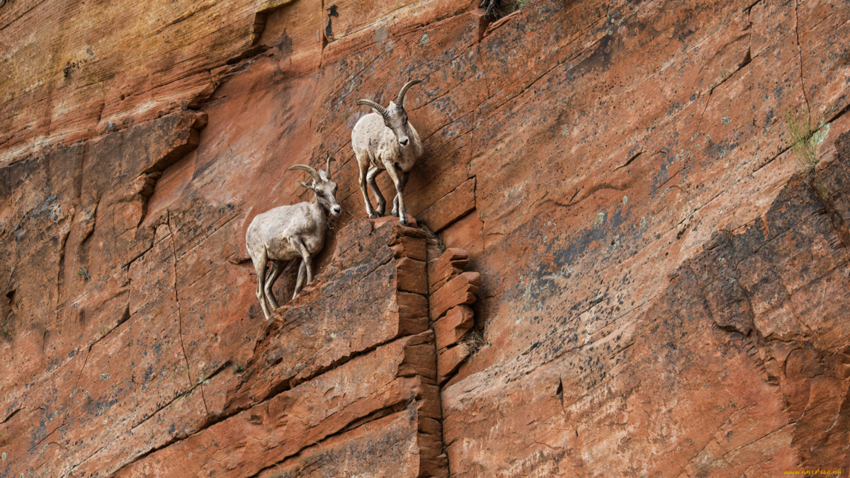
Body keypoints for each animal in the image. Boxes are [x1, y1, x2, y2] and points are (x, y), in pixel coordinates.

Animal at [243, 158, 340, 322]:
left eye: (335, 187)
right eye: (319, 192)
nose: (337, 209)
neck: (314, 220)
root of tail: (249, 229)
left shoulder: (307, 251)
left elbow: (299, 280)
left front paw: (297, 297)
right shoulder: (294, 238)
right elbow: (307, 261)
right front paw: (311, 283)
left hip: (280, 262)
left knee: (267, 286)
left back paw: (277, 311)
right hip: (260, 260)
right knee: (259, 291)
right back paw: (269, 317)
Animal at [350, 79, 422, 226]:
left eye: (406, 118)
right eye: (388, 125)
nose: (404, 141)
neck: (407, 153)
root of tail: (357, 124)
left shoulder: (407, 168)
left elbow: (402, 185)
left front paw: (394, 211)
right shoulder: (390, 164)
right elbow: (398, 185)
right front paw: (403, 218)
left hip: (378, 164)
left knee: (369, 176)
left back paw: (380, 210)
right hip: (363, 158)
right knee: (361, 180)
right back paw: (372, 213)